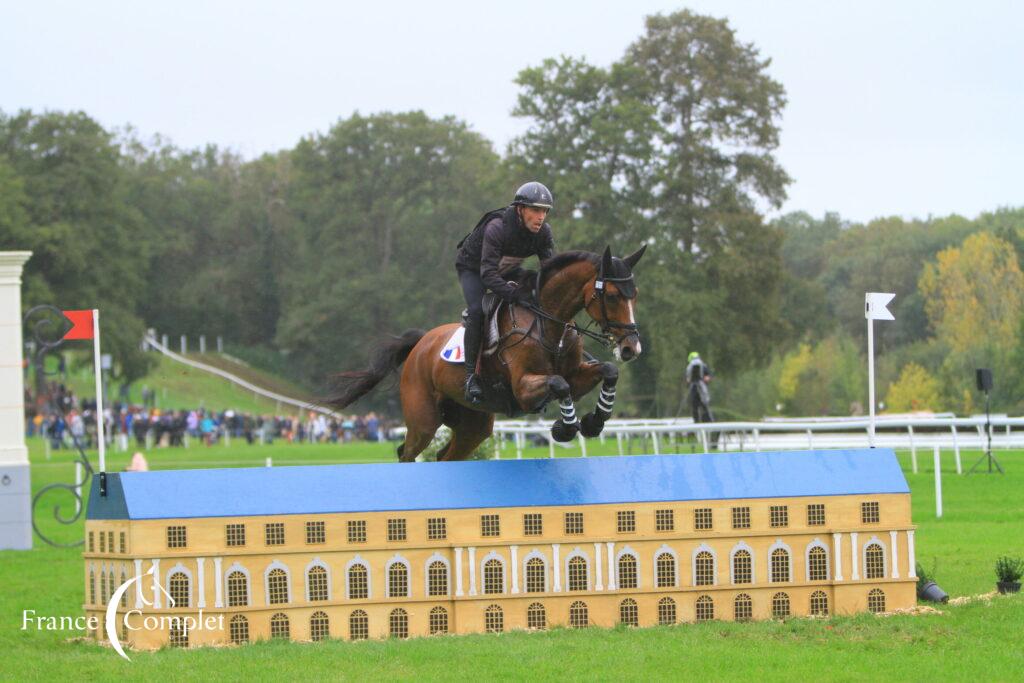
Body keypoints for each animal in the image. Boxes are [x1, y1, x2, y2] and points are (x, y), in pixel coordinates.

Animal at [323, 242, 643, 462]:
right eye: (611, 296)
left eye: (634, 295)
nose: (632, 347)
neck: (546, 323)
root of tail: (421, 344)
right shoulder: (523, 388)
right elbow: (559, 383)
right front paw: (563, 429)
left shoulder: (577, 376)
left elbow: (607, 371)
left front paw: (593, 422)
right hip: (423, 421)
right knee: (407, 452)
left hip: (472, 426)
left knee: (445, 456)